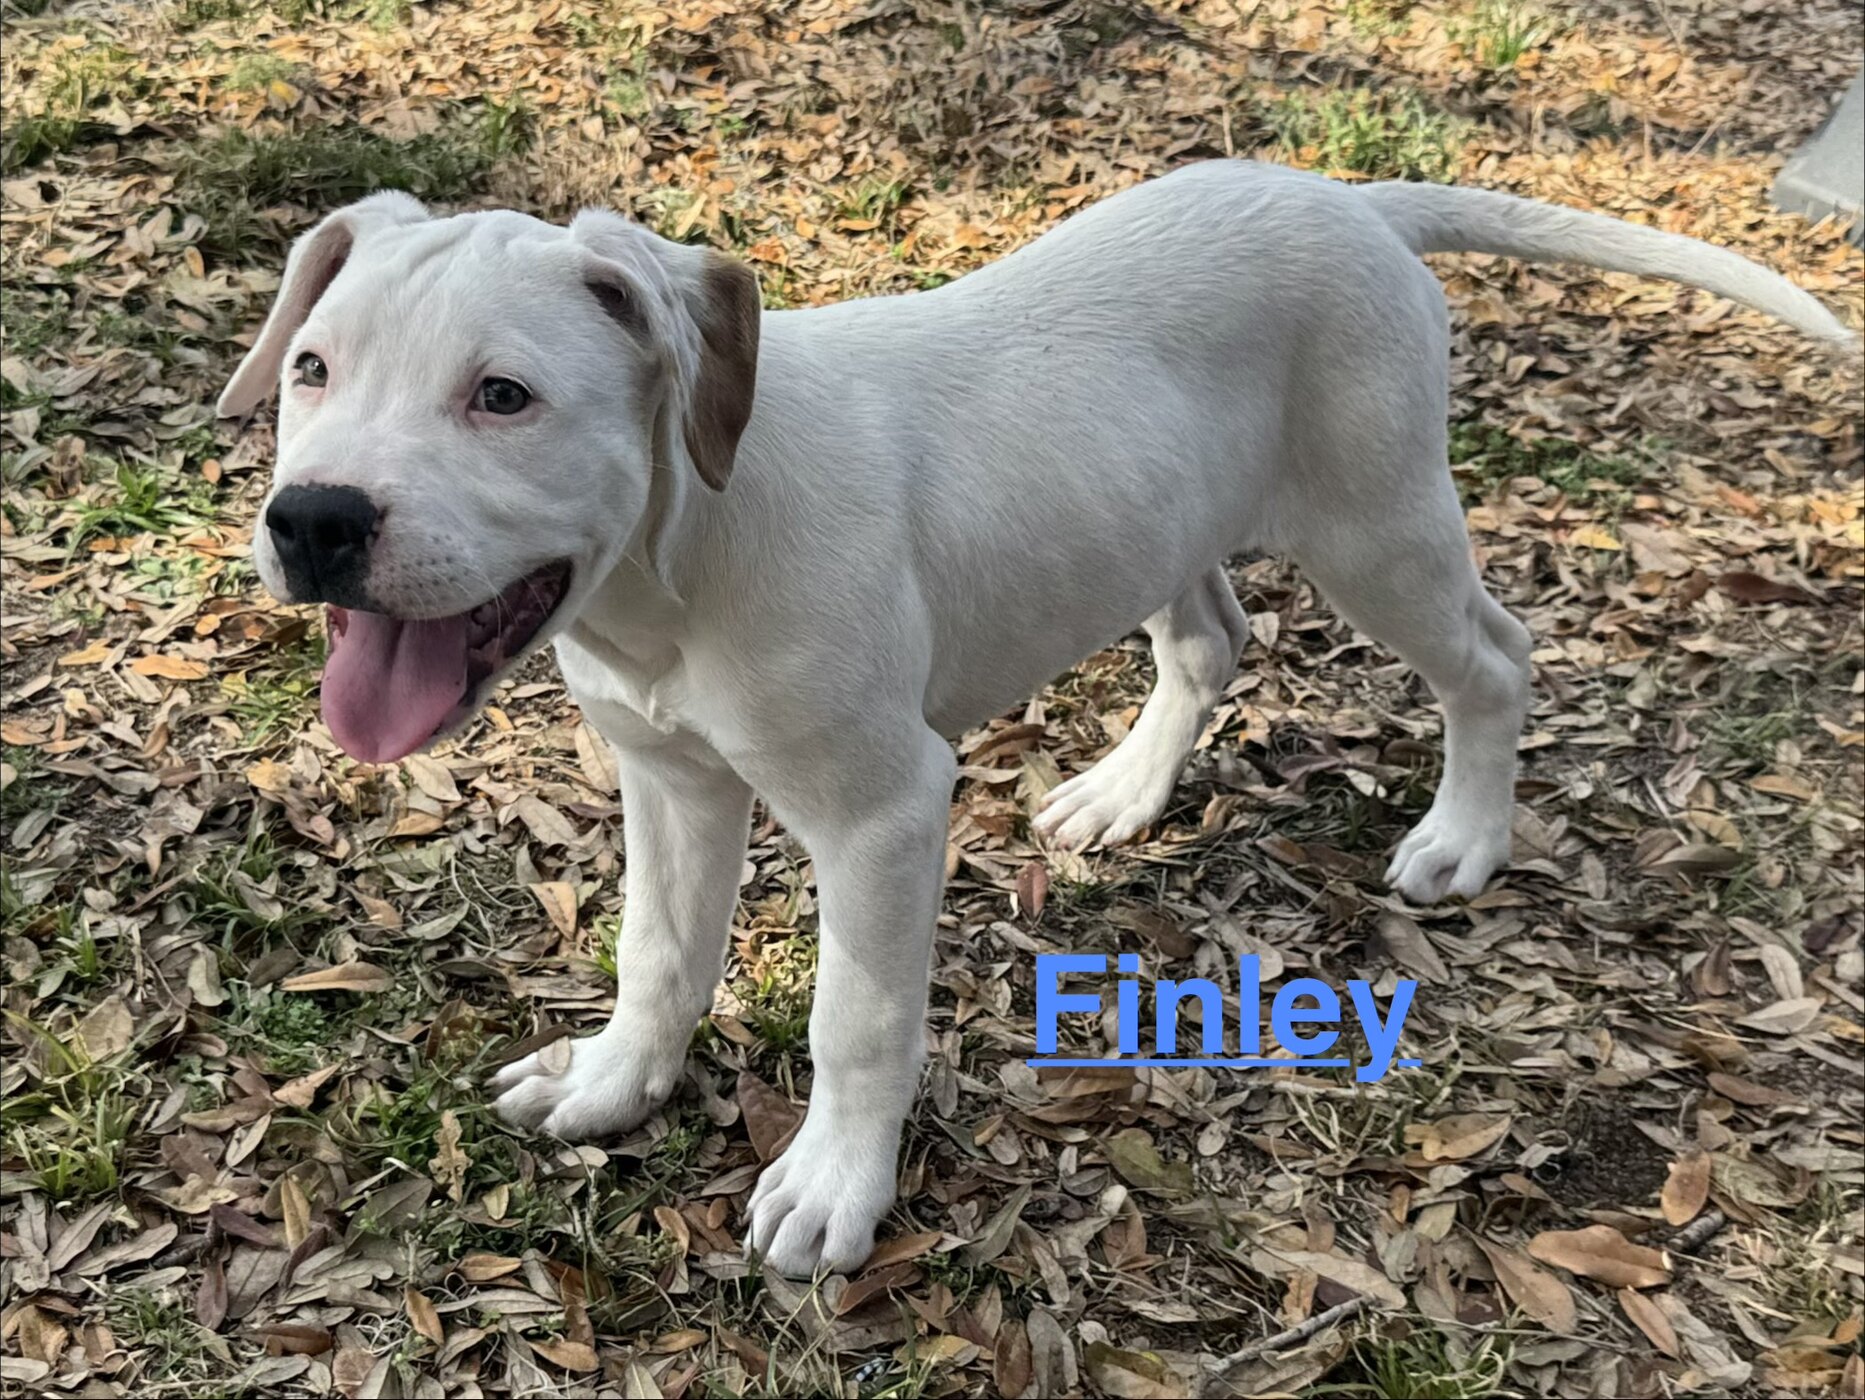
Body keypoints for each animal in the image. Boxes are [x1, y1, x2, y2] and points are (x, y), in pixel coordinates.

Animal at [216, 160, 1854, 1277]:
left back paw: (1461, 835)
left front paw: (834, 1187)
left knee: (1494, 660)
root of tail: (1347, 201)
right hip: (1170, 518)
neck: (679, 561)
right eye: (311, 370)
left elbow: (855, 1015)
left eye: (504, 397)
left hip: (1377, 526)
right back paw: (1120, 795)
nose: (314, 521)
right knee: (1209, 639)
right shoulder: (669, 779)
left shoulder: (882, 812)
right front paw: (617, 1083)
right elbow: (660, 952)